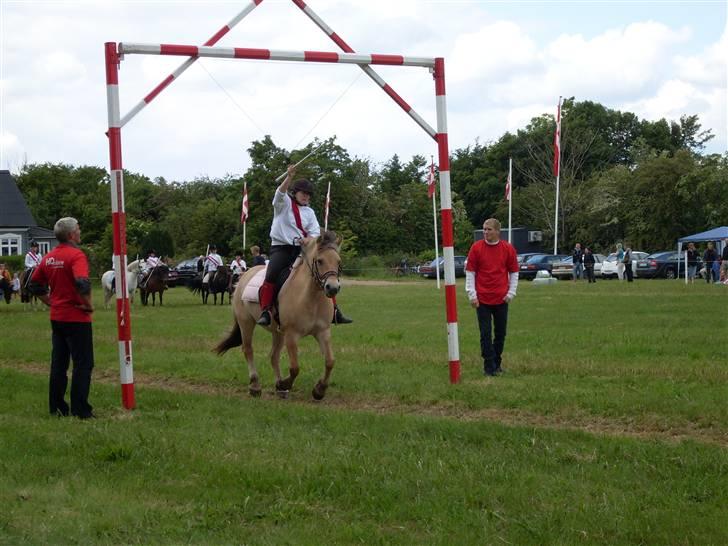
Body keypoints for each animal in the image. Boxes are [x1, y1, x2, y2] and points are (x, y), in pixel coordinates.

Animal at [215, 231, 342, 400]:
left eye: (338, 261)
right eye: (320, 261)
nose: (332, 288)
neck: (310, 298)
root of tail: (244, 275)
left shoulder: (323, 332)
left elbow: (330, 361)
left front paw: (319, 390)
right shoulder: (291, 335)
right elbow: (295, 367)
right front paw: (284, 384)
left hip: (278, 332)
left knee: (273, 356)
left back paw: (279, 388)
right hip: (246, 323)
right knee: (248, 350)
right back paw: (255, 385)